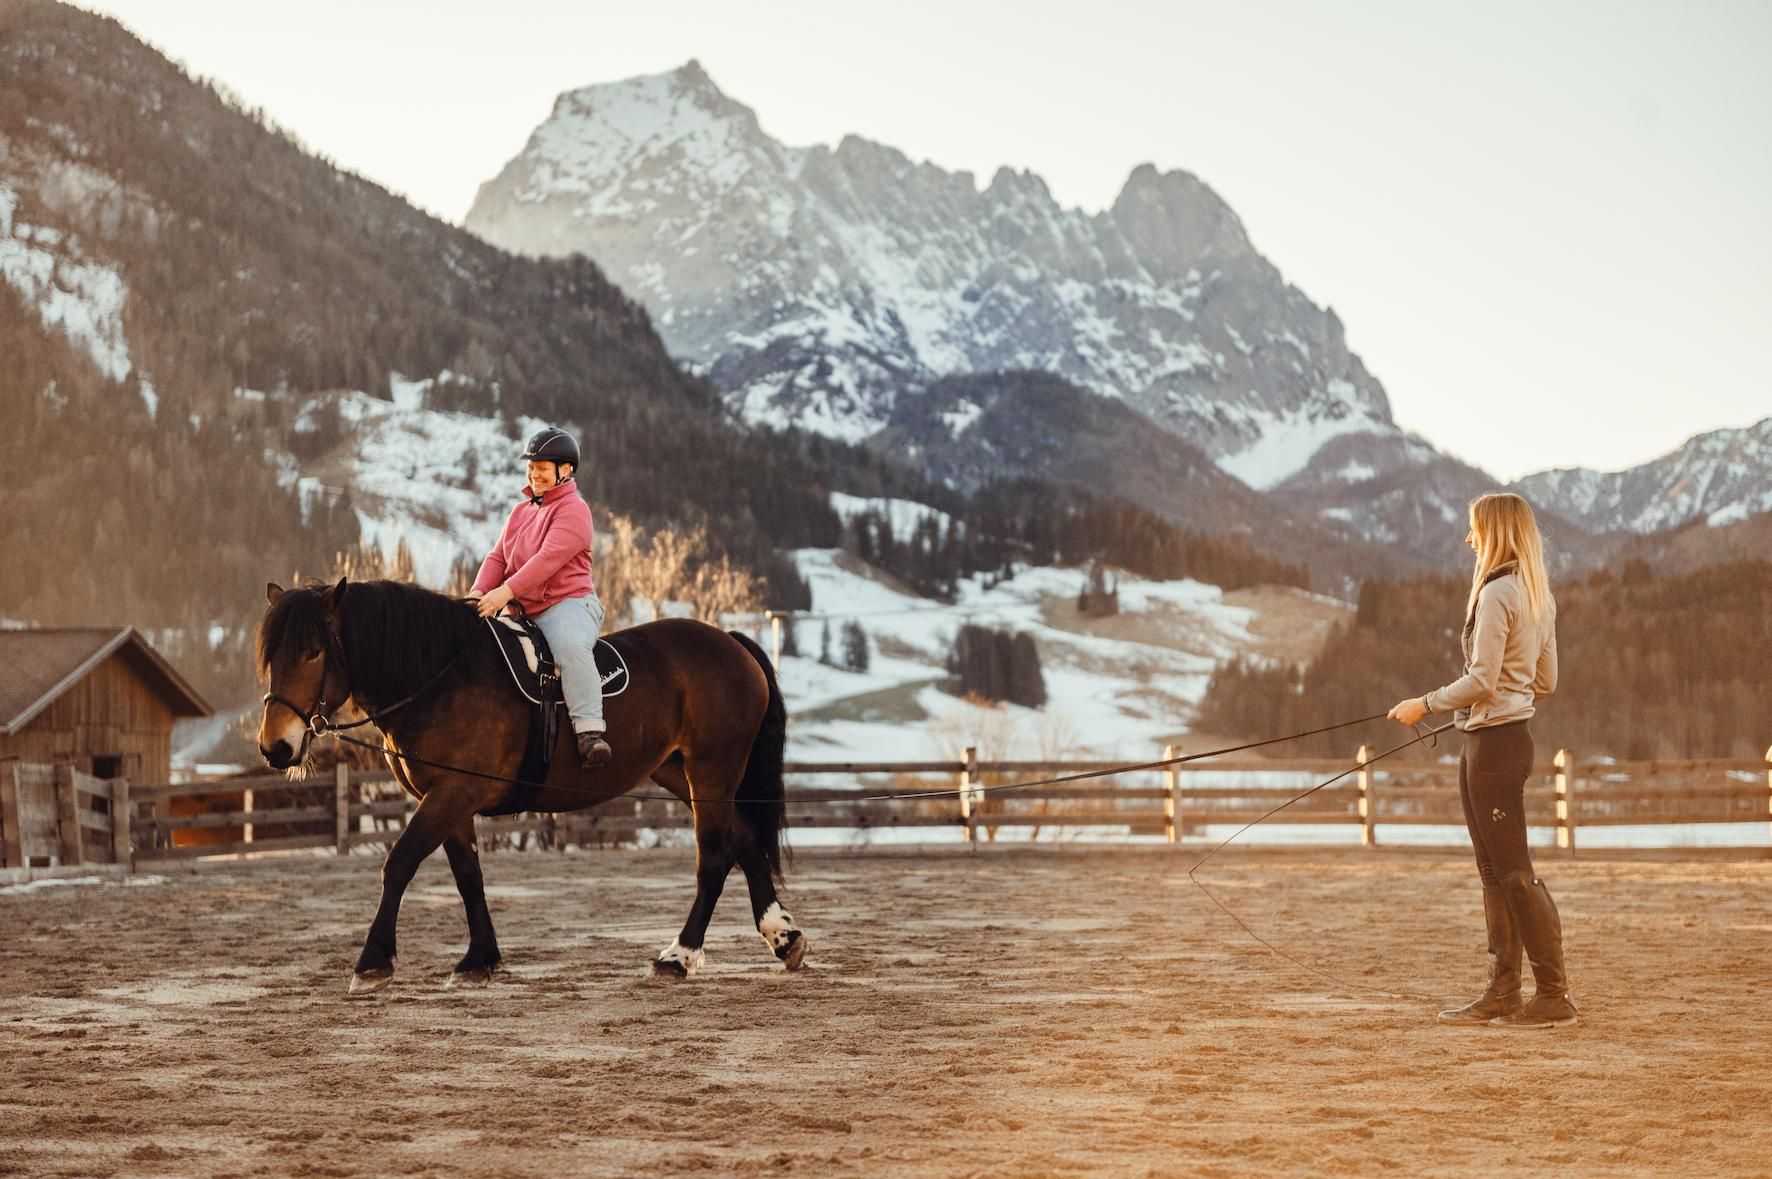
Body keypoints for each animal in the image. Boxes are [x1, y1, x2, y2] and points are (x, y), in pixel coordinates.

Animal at [255, 577, 806, 994]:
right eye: (270, 657)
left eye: (313, 653)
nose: (275, 747)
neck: (442, 677)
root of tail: (730, 643)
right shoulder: (452, 800)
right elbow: (468, 877)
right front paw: (479, 959)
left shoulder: (452, 793)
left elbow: (400, 862)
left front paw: (373, 960)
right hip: (679, 772)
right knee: (744, 840)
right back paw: (783, 937)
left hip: (712, 769)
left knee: (713, 858)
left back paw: (680, 955)